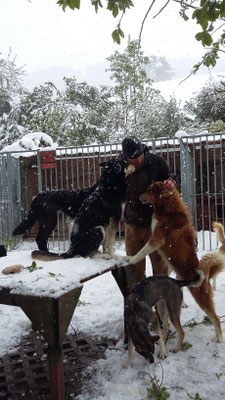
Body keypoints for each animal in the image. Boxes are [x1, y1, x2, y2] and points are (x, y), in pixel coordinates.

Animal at [123, 183, 223, 342]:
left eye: (149, 190)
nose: (139, 196)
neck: (169, 208)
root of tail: (205, 276)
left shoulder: (156, 239)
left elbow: (141, 252)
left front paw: (131, 259)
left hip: (201, 298)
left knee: (216, 318)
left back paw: (218, 338)